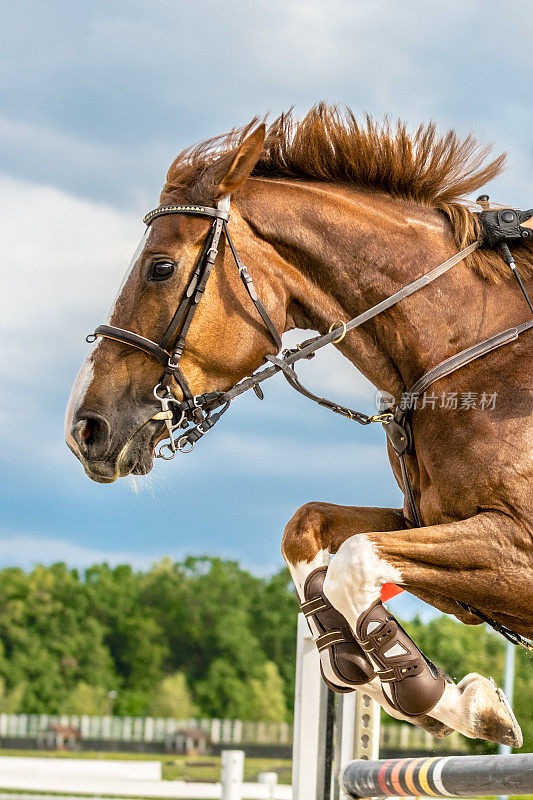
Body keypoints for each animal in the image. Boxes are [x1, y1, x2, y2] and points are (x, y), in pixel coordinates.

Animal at [64, 109, 528, 748]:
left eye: (161, 268)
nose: (85, 428)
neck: (470, 353)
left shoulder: (515, 547)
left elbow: (355, 558)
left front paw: (428, 692)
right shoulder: (433, 528)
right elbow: (308, 529)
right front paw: (383, 674)